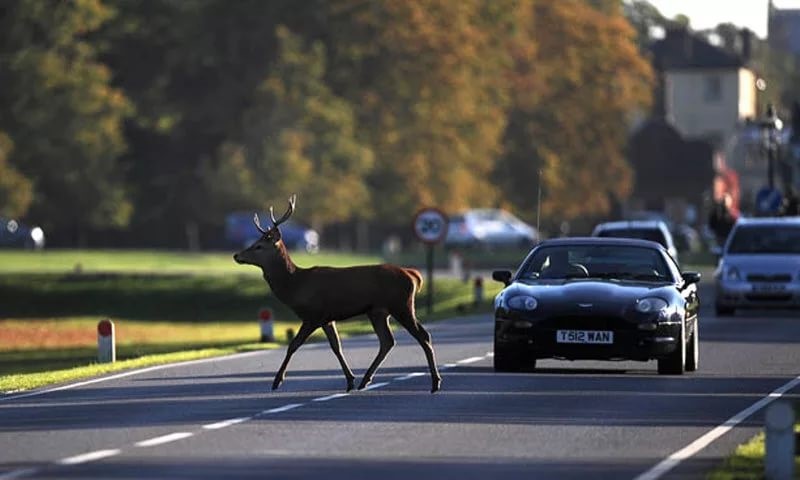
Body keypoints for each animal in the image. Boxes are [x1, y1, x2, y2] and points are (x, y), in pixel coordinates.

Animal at [231, 193, 444, 392]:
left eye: (259, 246)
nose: (236, 255)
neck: (296, 285)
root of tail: (413, 275)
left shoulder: (313, 314)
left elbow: (293, 345)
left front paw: (277, 381)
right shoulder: (327, 318)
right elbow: (336, 346)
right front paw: (350, 380)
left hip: (401, 304)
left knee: (423, 335)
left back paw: (435, 382)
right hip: (378, 311)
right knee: (387, 341)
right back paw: (365, 380)